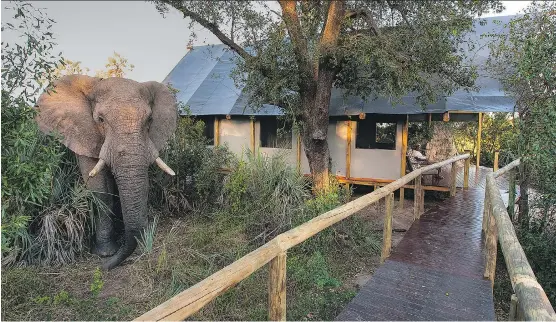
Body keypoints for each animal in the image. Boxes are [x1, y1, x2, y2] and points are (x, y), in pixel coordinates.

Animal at [36, 75, 176, 270]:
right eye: (100, 119)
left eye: (149, 119)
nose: (102, 268)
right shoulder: (83, 135)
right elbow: (100, 190)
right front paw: (105, 253)